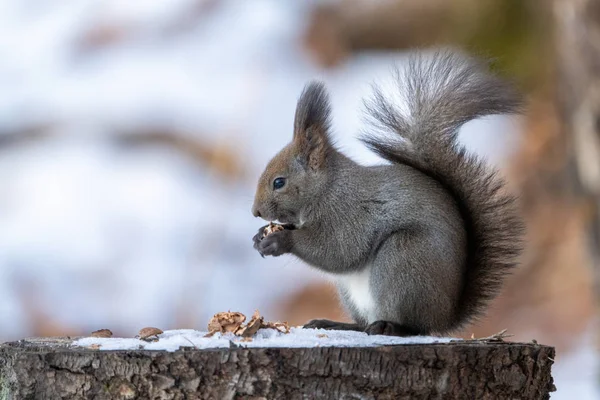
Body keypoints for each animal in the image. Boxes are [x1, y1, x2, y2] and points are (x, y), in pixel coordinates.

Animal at [251, 50, 524, 338]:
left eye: (279, 182)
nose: (256, 212)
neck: (328, 188)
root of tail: (444, 317)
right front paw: (261, 236)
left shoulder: (350, 213)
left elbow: (339, 250)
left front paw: (281, 241)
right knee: (362, 325)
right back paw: (338, 324)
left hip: (403, 258)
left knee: (414, 326)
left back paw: (390, 326)